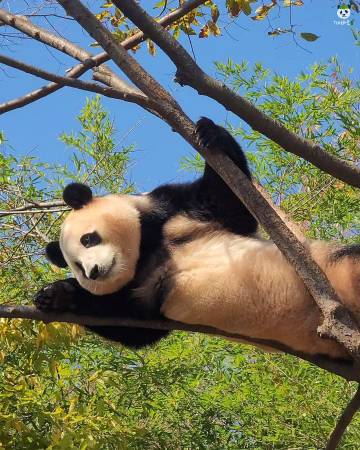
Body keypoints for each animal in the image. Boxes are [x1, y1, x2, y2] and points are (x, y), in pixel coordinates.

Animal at [34, 117, 360, 362]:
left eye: (88, 239)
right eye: (76, 265)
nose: (93, 272)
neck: (143, 252)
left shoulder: (173, 210)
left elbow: (229, 206)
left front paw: (209, 132)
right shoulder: (143, 296)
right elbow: (135, 327)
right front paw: (55, 295)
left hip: (335, 268)